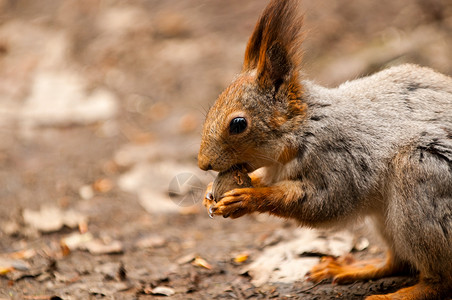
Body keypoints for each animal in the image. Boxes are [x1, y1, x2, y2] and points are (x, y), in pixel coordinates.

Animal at [197, 0, 452, 298]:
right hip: (387, 218)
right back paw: (355, 268)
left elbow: (323, 202)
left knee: (439, 281)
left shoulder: (338, 158)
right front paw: (209, 195)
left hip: (421, 180)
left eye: (238, 124)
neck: (304, 128)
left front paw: (247, 199)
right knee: (397, 262)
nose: (203, 163)